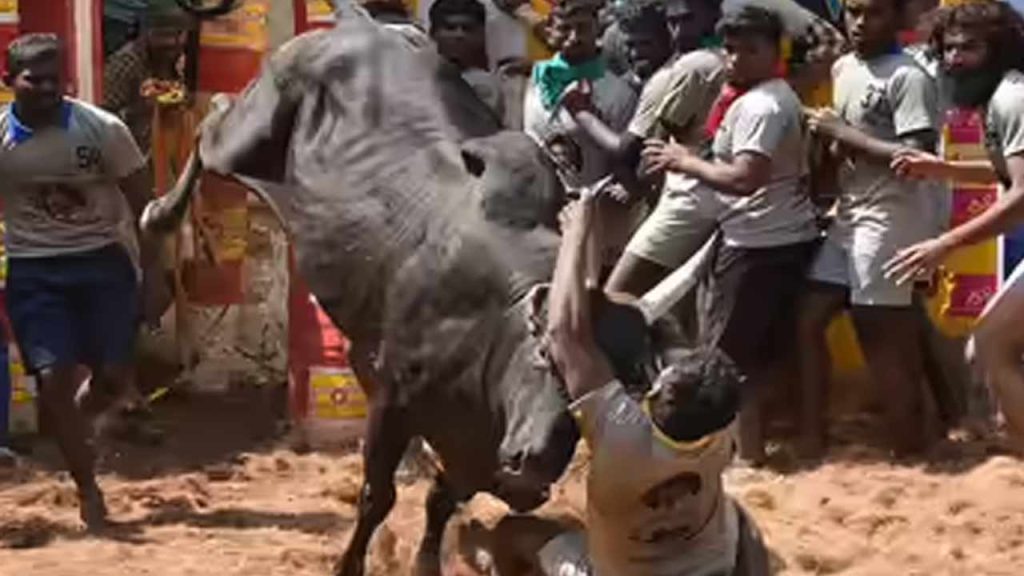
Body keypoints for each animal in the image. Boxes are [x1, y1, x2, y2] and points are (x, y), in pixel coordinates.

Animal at [142, 11, 578, 576]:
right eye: (545, 357)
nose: (539, 462)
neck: (494, 318)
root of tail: (358, 23)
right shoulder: (395, 401)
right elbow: (378, 496)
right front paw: (349, 564)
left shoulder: (471, 447)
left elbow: (441, 497)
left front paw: (426, 562)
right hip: (246, 137)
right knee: (210, 119)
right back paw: (158, 213)